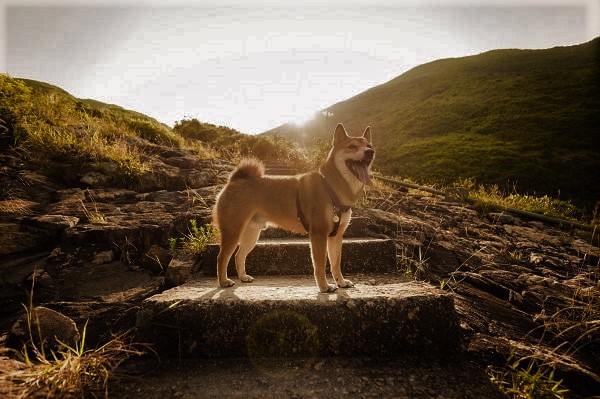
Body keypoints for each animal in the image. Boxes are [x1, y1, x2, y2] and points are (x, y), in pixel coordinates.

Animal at [212, 124, 376, 294]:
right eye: (352, 146)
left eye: (369, 146)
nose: (370, 152)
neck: (331, 187)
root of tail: (234, 181)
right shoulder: (319, 234)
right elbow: (320, 265)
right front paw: (324, 287)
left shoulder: (336, 236)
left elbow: (336, 263)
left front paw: (341, 283)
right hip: (233, 231)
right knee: (222, 257)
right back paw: (224, 281)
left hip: (251, 234)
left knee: (239, 255)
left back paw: (243, 277)